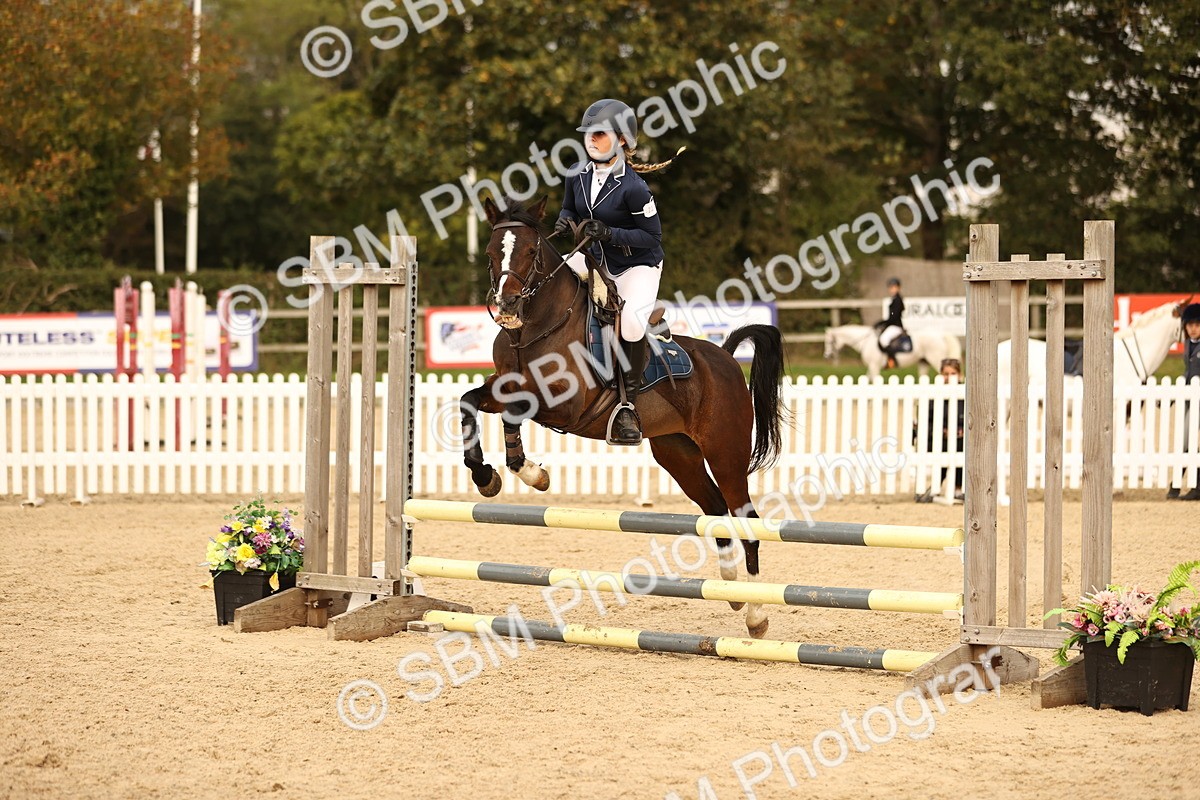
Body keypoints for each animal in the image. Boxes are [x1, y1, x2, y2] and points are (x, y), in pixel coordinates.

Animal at [457, 196, 789, 639]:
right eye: (492, 253)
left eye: (530, 251)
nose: (506, 307)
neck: (536, 330)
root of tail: (724, 356)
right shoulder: (503, 385)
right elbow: (469, 402)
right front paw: (488, 475)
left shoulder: (564, 403)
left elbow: (514, 410)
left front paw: (531, 474)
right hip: (678, 455)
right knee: (717, 511)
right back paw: (731, 589)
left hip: (725, 452)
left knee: (745, 519)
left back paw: (755, 614)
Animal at [823, 324, 963, 378]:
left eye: (829, 342)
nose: (826, 355)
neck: (865, 341)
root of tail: (941, 334)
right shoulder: (872, 367)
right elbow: (868, 379)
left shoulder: (874, 366)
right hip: (923, 362)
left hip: (936, 360)